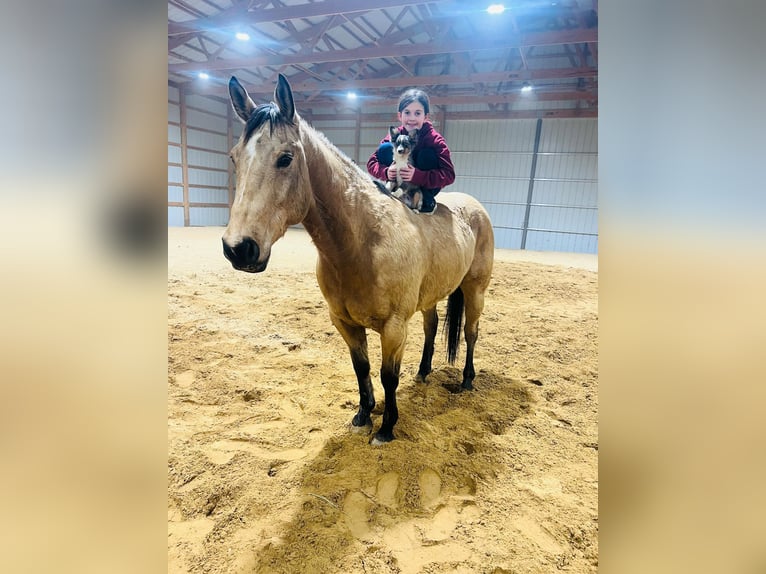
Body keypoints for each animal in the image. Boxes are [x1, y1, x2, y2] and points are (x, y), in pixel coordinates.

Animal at [222, 74, 498, 448]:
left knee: (471, 332)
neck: (363, 241)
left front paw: (386, 428)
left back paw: (467, 380)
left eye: (285, 158)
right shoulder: (345, 323)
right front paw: (363, 415)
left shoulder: (394, 327)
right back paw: (423, 373)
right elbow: (362, 369)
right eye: (235, 158)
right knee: (432, 327)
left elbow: (388, 376)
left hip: (475, 290)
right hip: (431, 296)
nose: (239, 248)